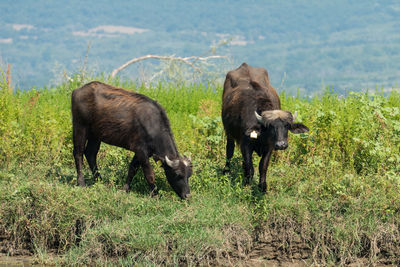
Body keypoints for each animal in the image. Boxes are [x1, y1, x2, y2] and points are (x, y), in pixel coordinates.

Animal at [222, 62, 310, 193]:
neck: (261, 137)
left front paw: (262, 187)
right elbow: (250, 167)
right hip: (228, 133)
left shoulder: (270, 147)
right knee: (229, 151)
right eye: (270, 126)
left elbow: (262, 166)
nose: (281, 145)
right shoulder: (245, 145)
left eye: (287, 126)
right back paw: (226, 172)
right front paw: (247, 184)